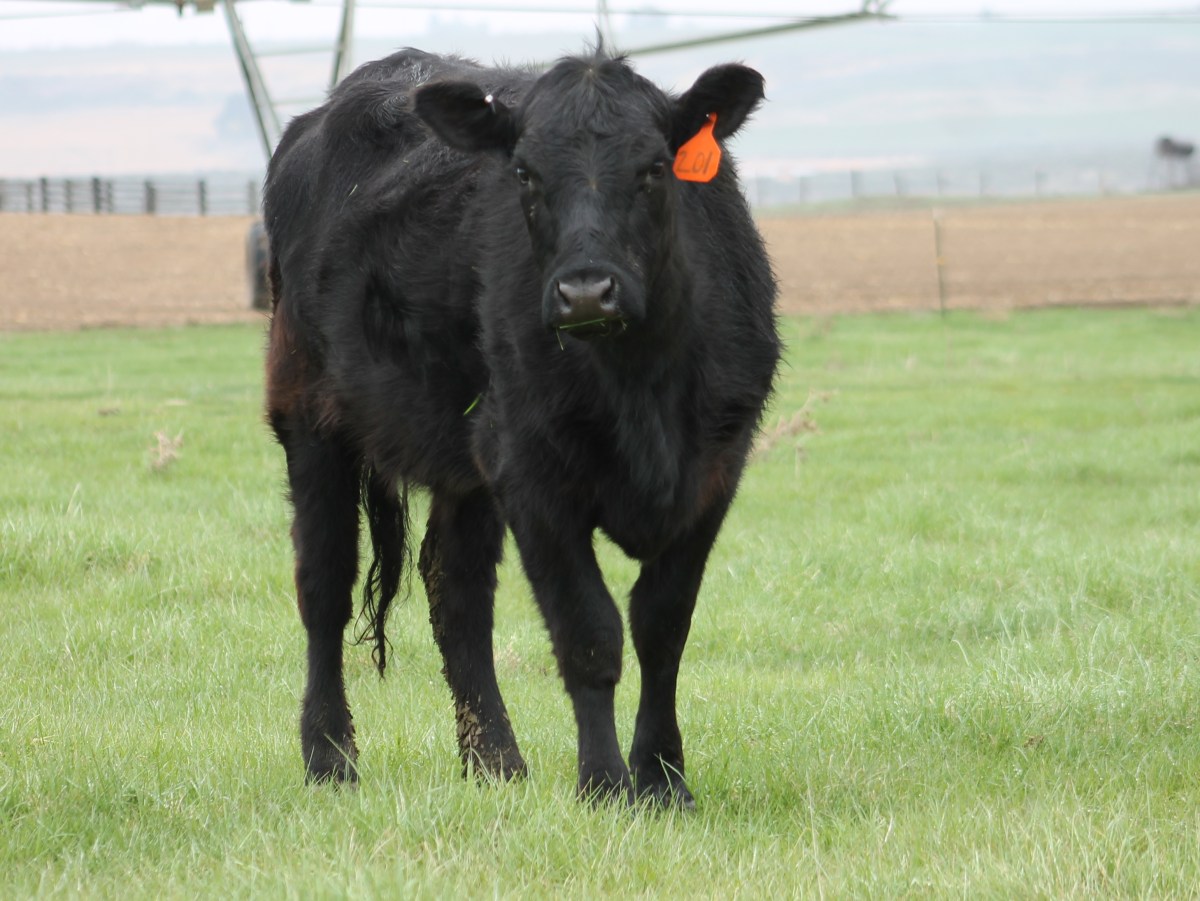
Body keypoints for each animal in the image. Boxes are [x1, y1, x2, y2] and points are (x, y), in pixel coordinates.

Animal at [262, 46, 780, 808]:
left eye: (655, 168)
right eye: (525, 175)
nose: (586, 291)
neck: (638, 383)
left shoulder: (714, 471)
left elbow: (662, 628)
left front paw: (663, 781)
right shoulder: (532, 476)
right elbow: (590, 632)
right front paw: (605, 785)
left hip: (463, 462)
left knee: (455, 591)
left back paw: (495, 761)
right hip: (308, 412)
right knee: (325, 586)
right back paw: (330, 758)